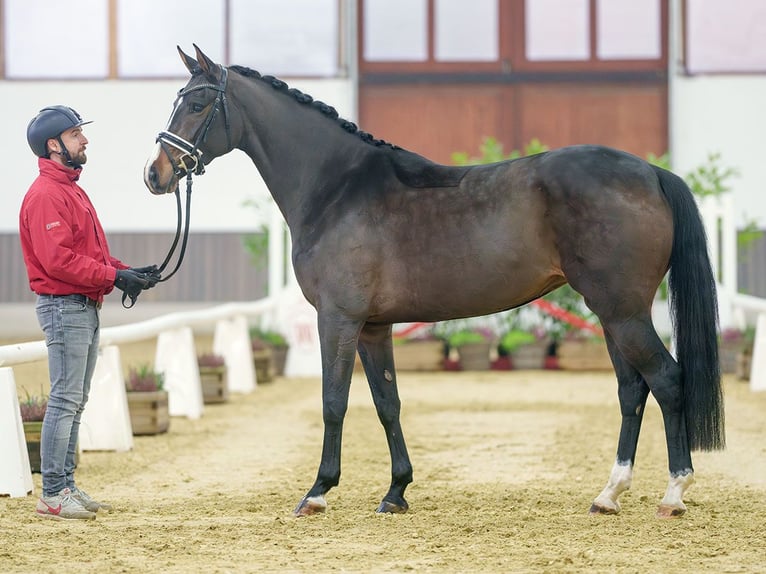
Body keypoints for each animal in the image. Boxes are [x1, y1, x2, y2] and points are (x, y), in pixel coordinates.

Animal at [142, 46, 728, 520]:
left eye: (198, 104)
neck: (337, 188)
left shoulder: (338, 318)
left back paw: (673, 494)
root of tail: (652, 172)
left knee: (667, 381)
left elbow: (334, 402)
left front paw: (318, 492)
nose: (155, 174)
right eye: (177, 100)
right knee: (633, 391)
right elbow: (387, 404)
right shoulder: (374, 327)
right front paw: (396, 492)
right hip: (611, 313)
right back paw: (609, 495)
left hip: (623, 311)